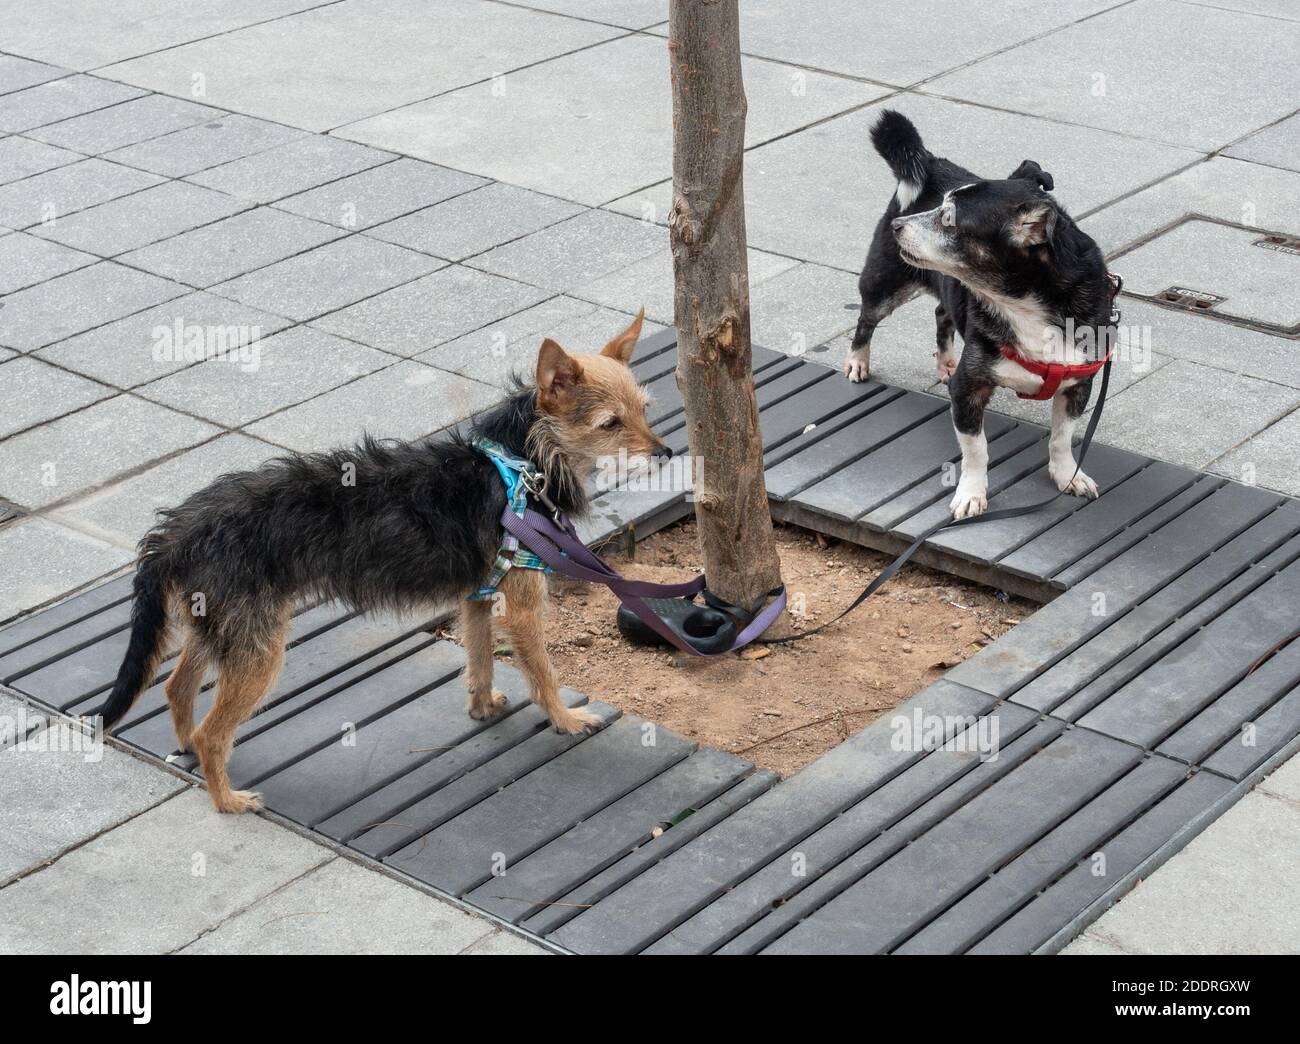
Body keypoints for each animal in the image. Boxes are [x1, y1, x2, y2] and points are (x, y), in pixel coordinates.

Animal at [97, 310, 665, 816]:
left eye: (644, 408)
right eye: (610, 424)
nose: (662, 453)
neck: (521, 462)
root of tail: (176, 533)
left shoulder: (479, 597)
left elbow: (480, 658)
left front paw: (482, 706)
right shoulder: (523, 607)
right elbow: (543, 672)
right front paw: (566, 719)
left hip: (216, 627)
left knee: (176, 687)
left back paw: (186, 748)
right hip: (257, 649)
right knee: (213, 731)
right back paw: (227, 800)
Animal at [842, 110, 1118, 517]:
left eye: (949, 220)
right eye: (937, 208)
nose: (897, 226)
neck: (1021, 302)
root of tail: (931, 162)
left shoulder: (1077, 386)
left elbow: (1061, 438)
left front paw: (1067, 474)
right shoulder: (967, 390)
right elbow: (977, 450)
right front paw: (971, 493)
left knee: (942, 311)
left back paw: (945, 361)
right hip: (885, 284)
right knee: (866, 319)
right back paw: (858, 360)